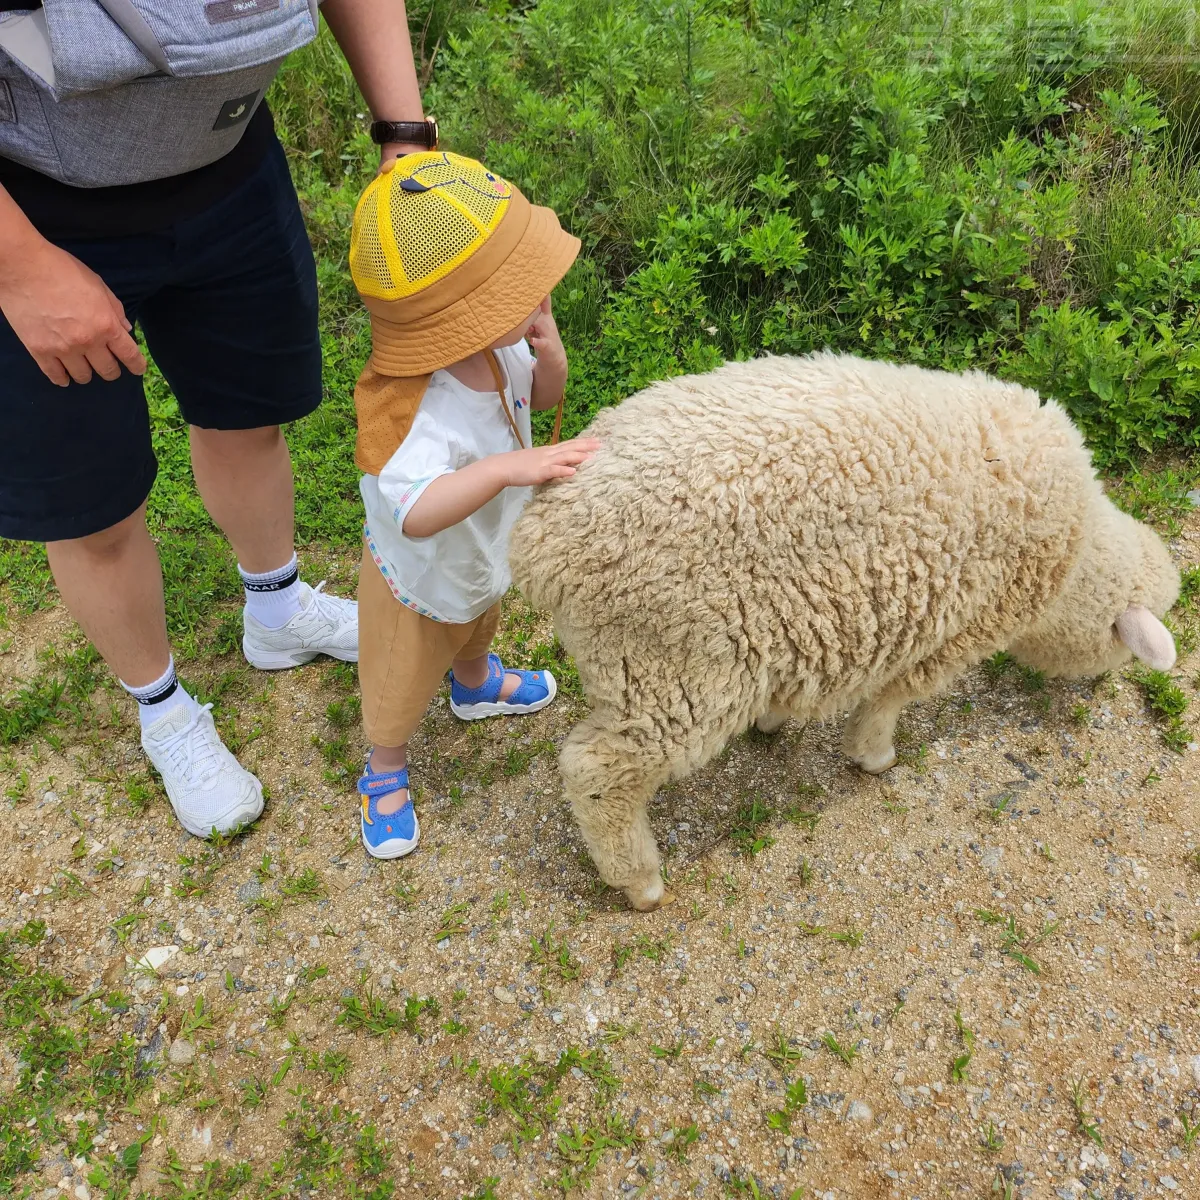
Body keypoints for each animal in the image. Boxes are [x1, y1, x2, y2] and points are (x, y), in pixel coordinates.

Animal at [508, 350, 1180, 912]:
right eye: (1120, 649)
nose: (1098, 691)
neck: (1074, 558)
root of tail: (539, 539)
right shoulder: (957, 631)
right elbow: (891, 698)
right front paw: (875, 756)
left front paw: (774, 720)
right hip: (672, 668)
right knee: (597, 771)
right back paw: (640, 881)